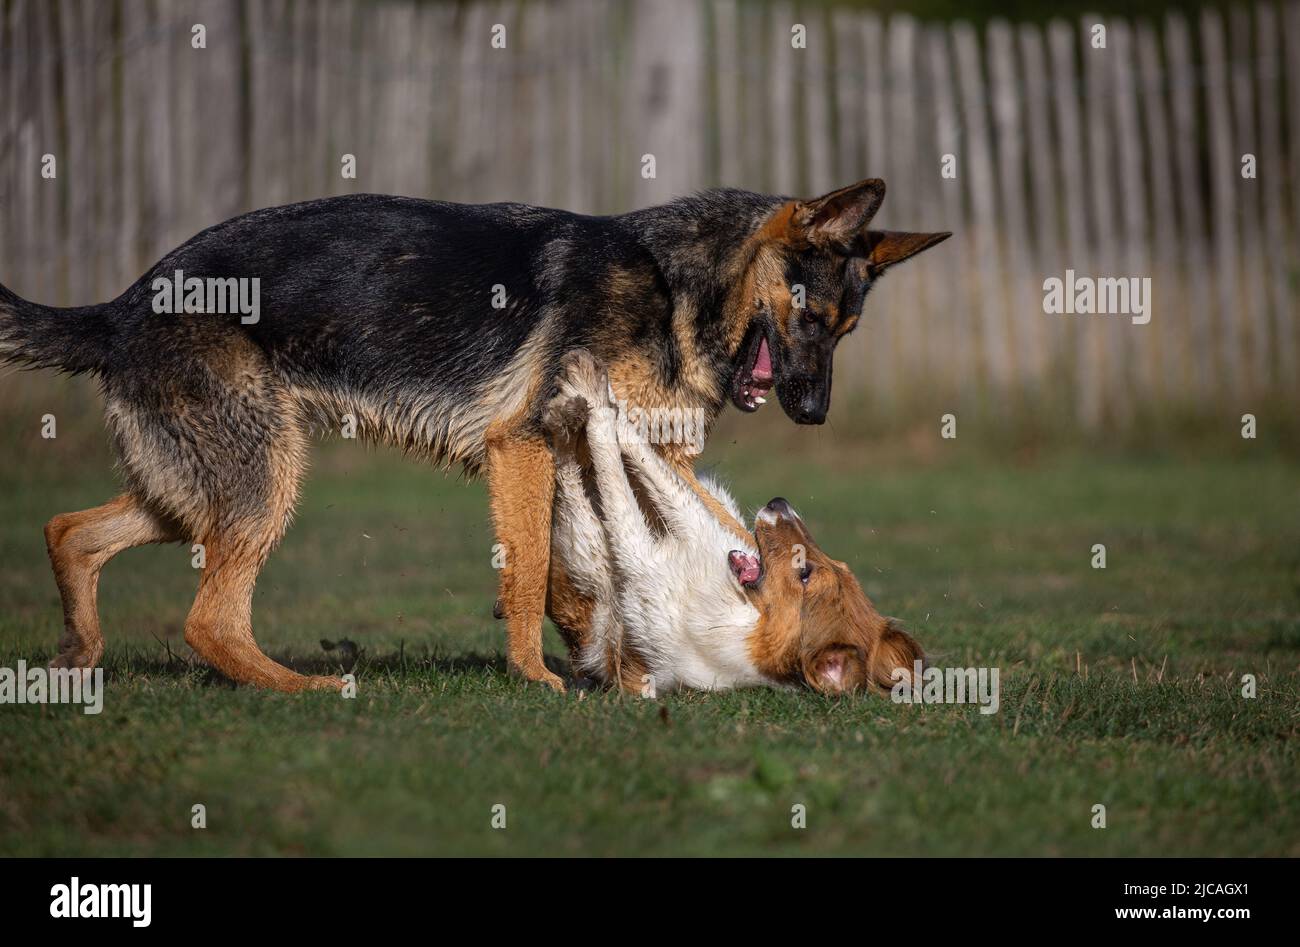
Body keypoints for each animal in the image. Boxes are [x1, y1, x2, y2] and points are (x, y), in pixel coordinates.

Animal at [543, 351, 920, 692]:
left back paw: (566, 416)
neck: (747, 619)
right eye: (838, 563)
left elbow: (623, 455)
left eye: (805, 573)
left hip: (587, 549)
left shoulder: (643, 548)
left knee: (571, 476)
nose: (779, 502)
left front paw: (596, 390)